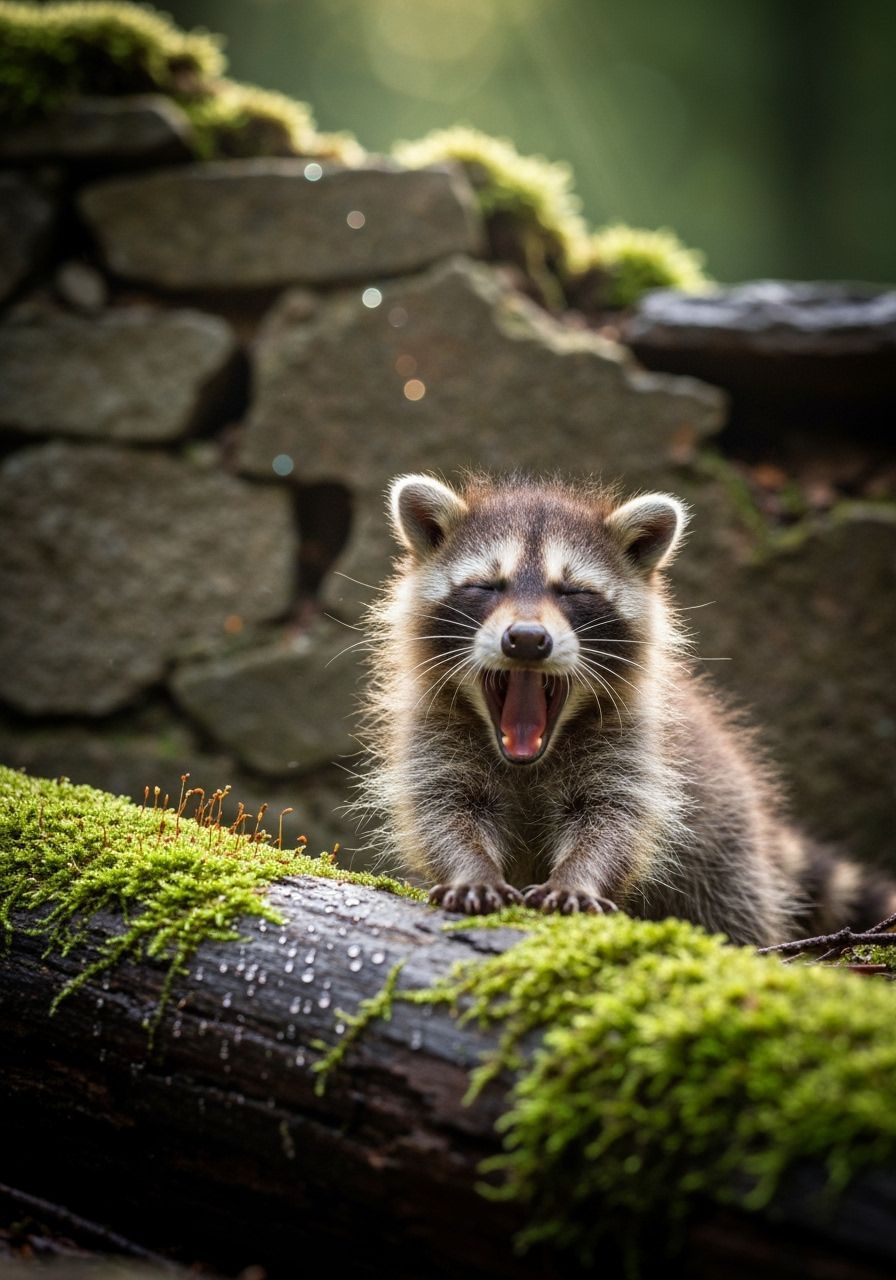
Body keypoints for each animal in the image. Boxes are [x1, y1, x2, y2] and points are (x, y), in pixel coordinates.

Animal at [356, 472, 895, 947]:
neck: (529, 759)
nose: (527, 639)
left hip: (726, 855)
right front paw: (471, 870)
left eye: (573, 591)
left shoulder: (635, 742)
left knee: (732, 911)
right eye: (488, 586)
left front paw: (577, 880)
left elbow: (616, 821)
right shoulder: (432, 730)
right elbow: (442, 811)